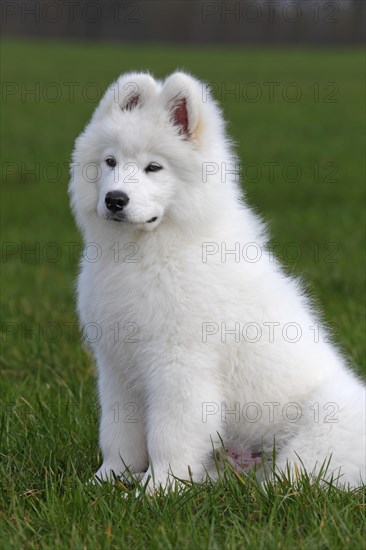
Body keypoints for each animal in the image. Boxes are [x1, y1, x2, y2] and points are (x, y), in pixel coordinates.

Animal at [69, 70, 366, 492]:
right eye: (110, 161)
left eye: (154, 168)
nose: (114, 199)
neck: (148, 253)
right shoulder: (116, 368)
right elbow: (118, 434)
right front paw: (106, 481)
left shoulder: (180, 366)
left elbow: (168, 436)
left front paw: (156, 490)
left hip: (326, 421)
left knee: (289, 478)